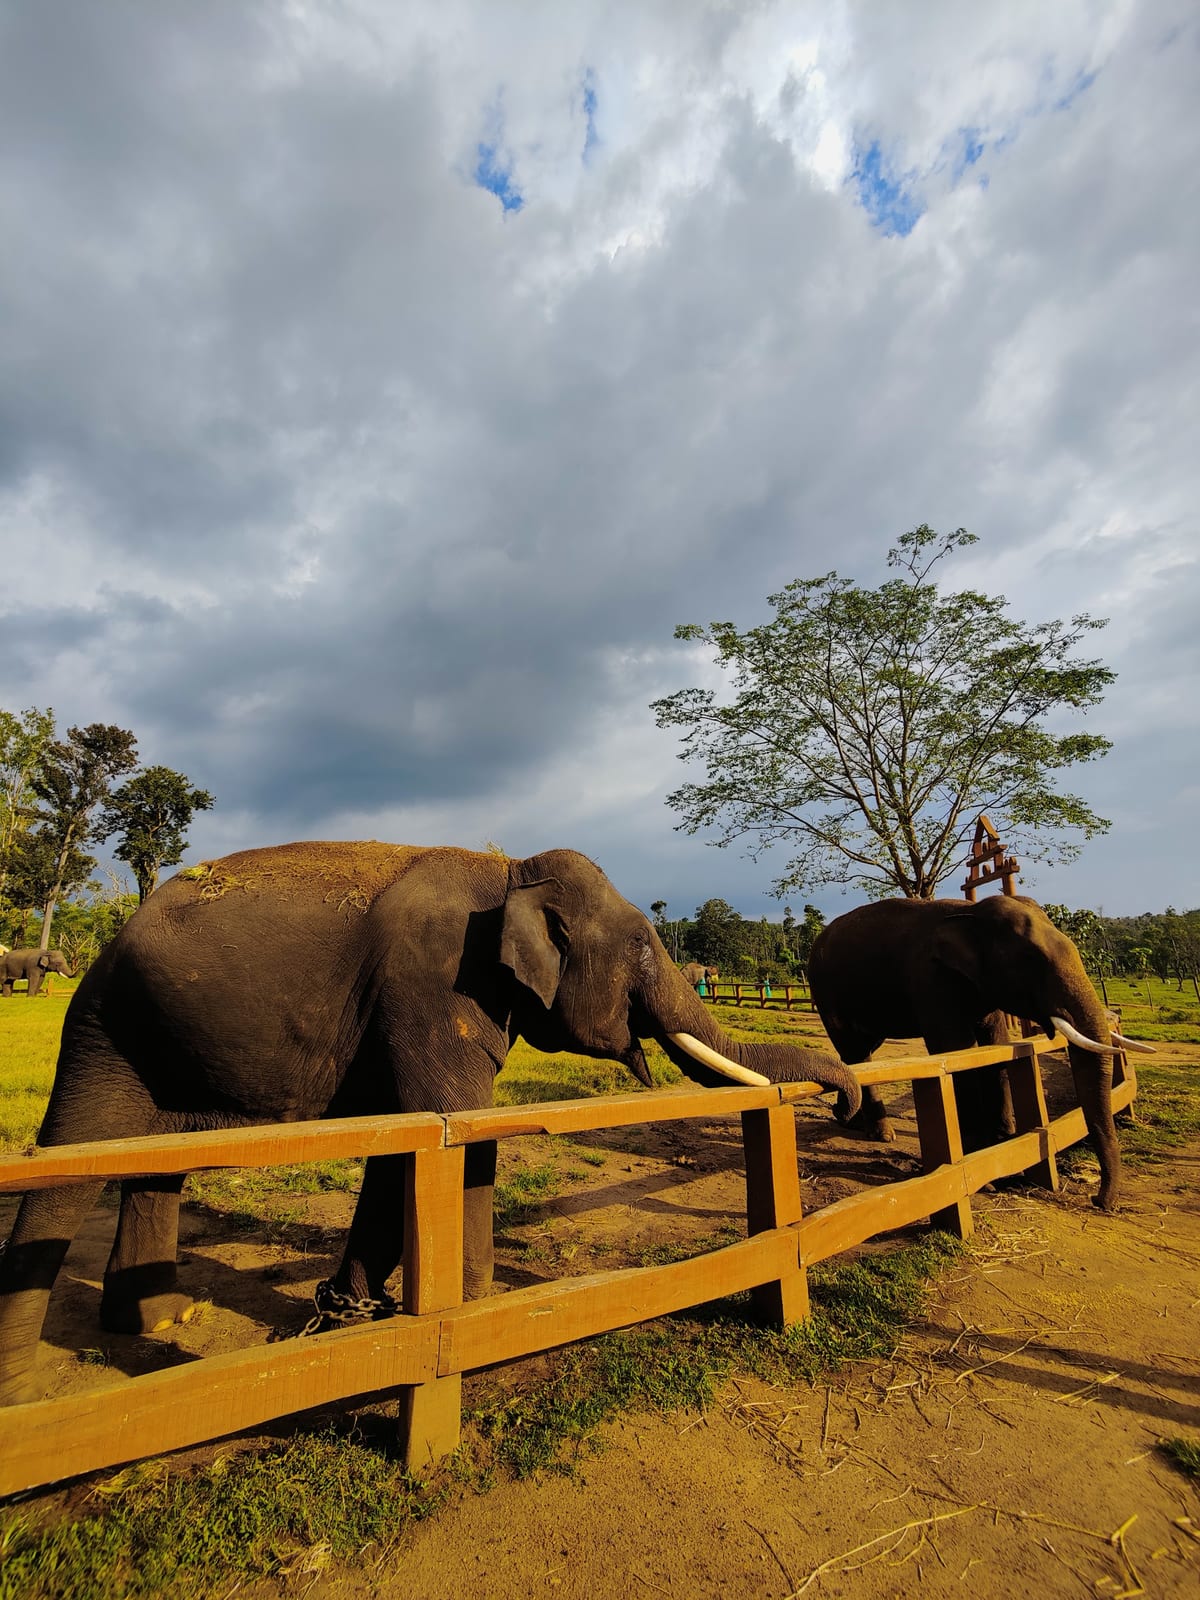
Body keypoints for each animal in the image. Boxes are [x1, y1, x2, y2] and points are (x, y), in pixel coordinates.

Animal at [0, 840, 862, 1405]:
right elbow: (454, 1123)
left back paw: (155, 1315)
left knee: (158, 1159)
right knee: (73, 1161)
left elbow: (410, 1140)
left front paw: (350, 1312)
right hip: (105, 1023)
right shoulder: (431, 986)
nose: (848, 1104)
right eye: (646, 950)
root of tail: (118, 928)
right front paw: (471, 1311)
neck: (508, 871)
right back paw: (23, 1388)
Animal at [806, 894, 1152, 1212]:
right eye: (1031, 960)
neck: (969, 913)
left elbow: (995, 1044)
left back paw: (850, 1120)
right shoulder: (931, 981)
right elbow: (956, 1051)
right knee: (854, 1051)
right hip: (826, 993)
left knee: (860, 1049)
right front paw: (985, 1176)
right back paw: (881, 1134)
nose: (1099, 1201)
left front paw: (1005, 1139)